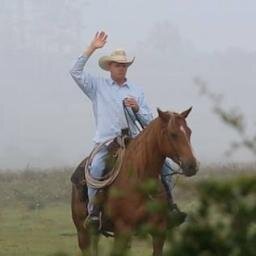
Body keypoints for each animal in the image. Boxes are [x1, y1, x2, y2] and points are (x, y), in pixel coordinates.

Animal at [71, 107, 199, 256]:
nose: (192, 165)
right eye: (173, 134)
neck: (141, 180)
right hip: (83, 233)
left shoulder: (159, 231)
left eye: (189, 132)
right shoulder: (123, 230)